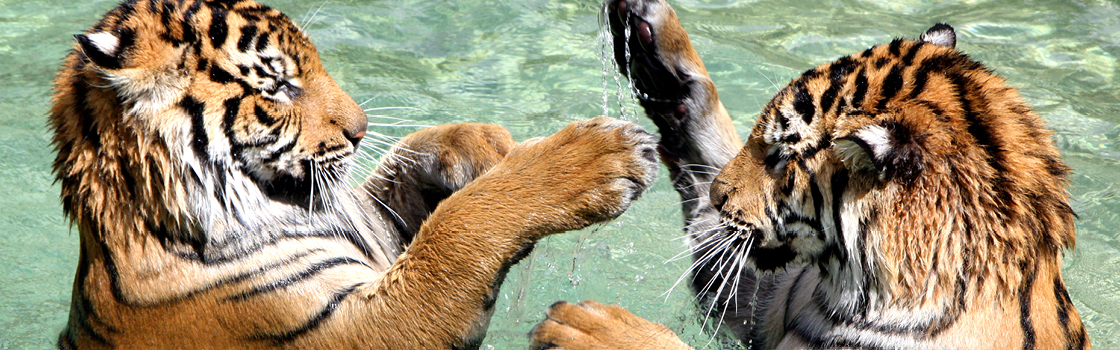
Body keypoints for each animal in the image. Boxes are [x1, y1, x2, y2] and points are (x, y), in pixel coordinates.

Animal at [52, 0, 658, 347]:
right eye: (278, 86)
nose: (360, 129)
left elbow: (400, 185)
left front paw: (483, 145)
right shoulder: (364, 329)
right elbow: (458, 228)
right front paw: (598, 158)